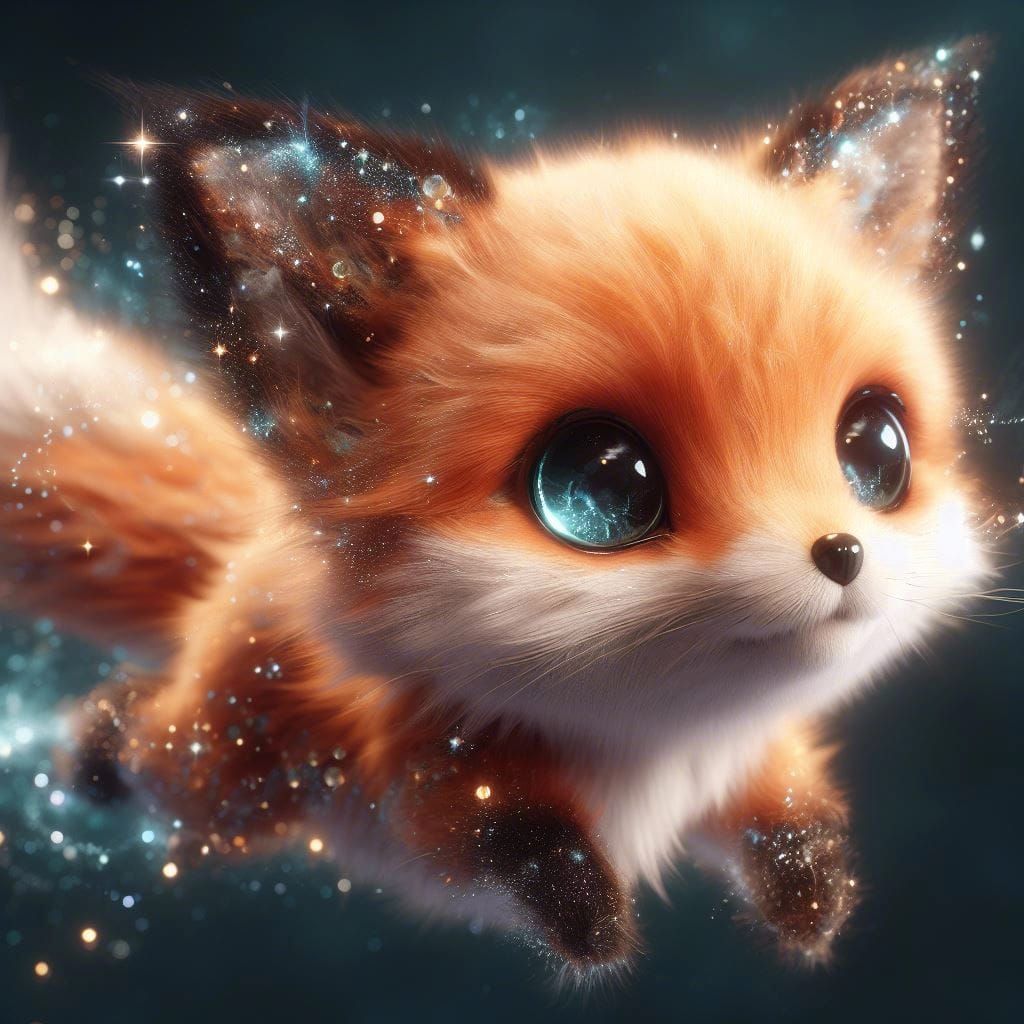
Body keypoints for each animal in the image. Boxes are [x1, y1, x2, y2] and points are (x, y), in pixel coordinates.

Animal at [0, 38, 991, 979]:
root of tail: (255, 556)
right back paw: (97, 741)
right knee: (160, 756)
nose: (842, 552)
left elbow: (790, 822)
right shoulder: (414, 790)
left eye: (876, 451)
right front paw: (589, 919)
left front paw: (810, 895)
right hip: (228, 774)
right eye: (601, 487)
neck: (661, 757)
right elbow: (505, 844)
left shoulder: (748, 762)